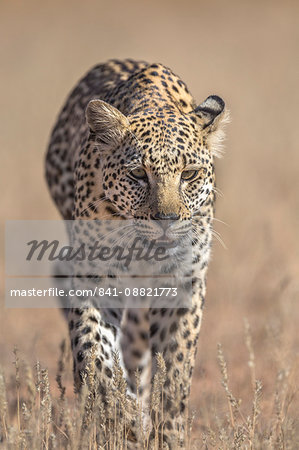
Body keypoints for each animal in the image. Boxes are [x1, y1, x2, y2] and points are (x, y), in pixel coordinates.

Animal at [44, 59, 229, 446]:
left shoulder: (183, 283)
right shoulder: (94, 279)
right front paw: (121, 415)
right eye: (138, 174)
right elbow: (94, 353)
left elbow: (174, 371)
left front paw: (168, 434)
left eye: (189, 174)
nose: (167, 220)